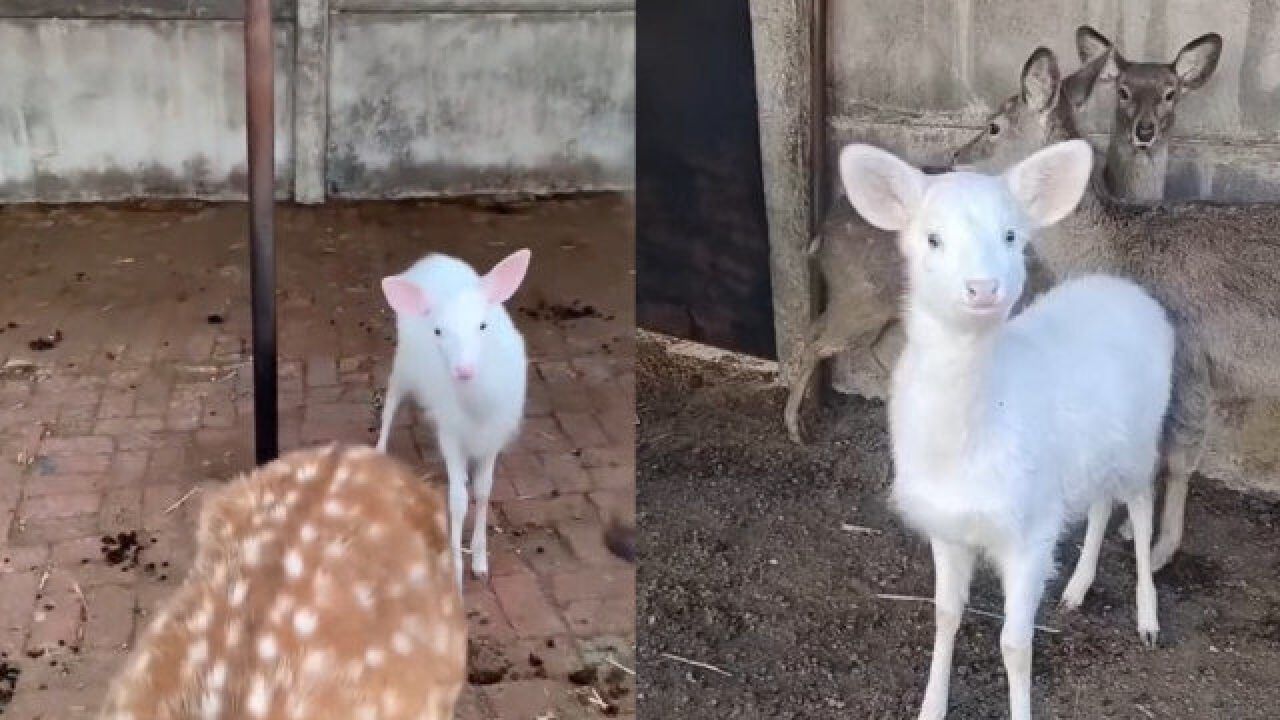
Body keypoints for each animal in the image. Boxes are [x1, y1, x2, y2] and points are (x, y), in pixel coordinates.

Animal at [844, 139, 1172, 717]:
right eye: (932, 238)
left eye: (1012, 235)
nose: (982, 288)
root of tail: (1125, 288)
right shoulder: (948, 527)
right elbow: (945, 616)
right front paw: (931, 706)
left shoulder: (1031, 530)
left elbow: (1015, 646)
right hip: (1093, 454)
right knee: (1099, 504)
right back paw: (1078, 588)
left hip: (1142, 438)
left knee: (1139, 505)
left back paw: (1147, 618)